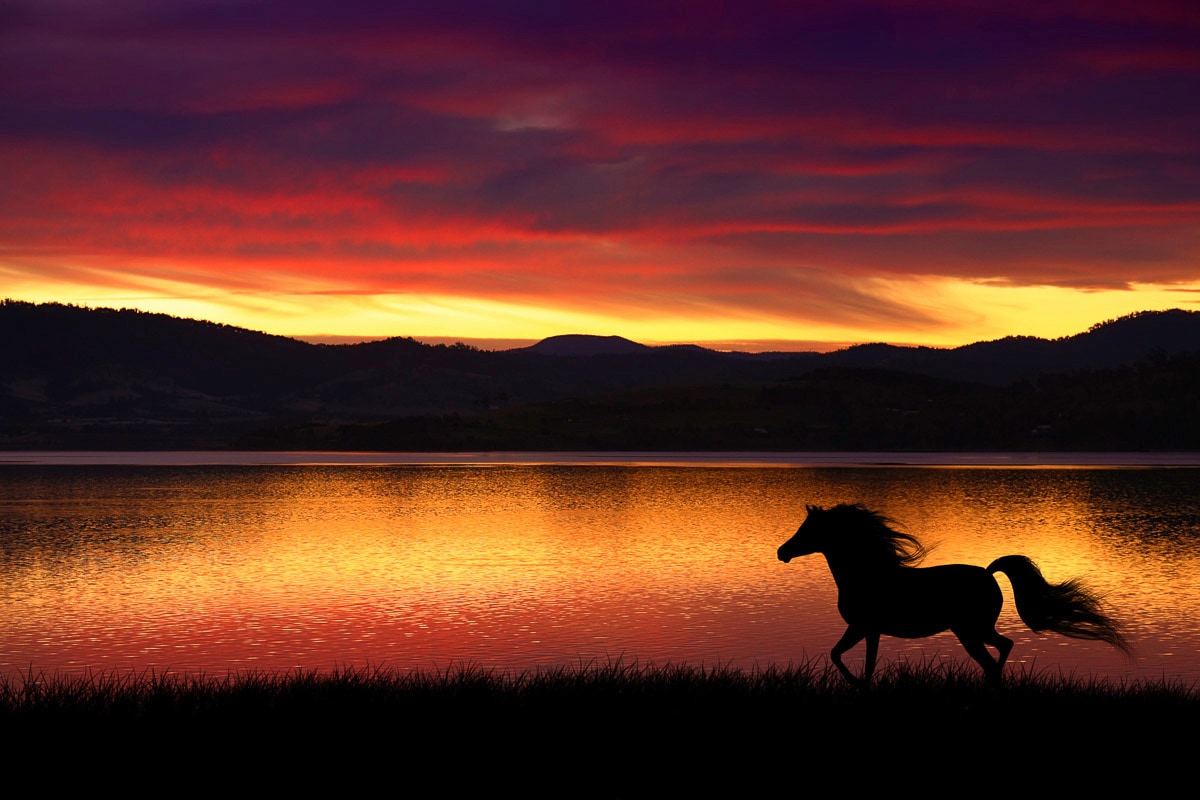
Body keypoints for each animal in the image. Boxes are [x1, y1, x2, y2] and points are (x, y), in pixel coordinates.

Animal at [772, 503, 1128, 686]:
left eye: (807, 530)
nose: (781, 552)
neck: (867, 574)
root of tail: (988, 572)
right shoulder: (869, 630)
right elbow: (860, 661)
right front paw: (862, 685)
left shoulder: (861, 626)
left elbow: (839, 656)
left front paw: (857, 685)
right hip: (973, 630)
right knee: (1002, 648)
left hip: (971, 630)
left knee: (1000, 649)